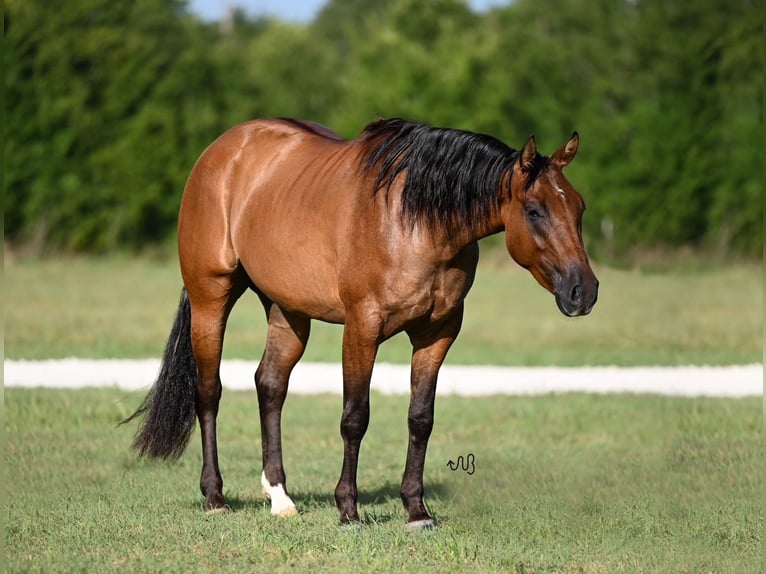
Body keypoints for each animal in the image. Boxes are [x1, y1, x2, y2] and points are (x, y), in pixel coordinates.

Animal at [124, 118, 600, 532]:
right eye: (535, 210)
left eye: (579, 207)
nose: (584, 291)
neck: (417, 221)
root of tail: (220, 151)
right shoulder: (362, 329)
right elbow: (355, 417)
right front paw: (349, 510)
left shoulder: (438, 334)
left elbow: (420, 419)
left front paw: (416, 510)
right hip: (211, 299)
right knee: (209, 392)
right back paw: (215, 497)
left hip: (287, 311)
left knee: (270, 384)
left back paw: (280, 497)